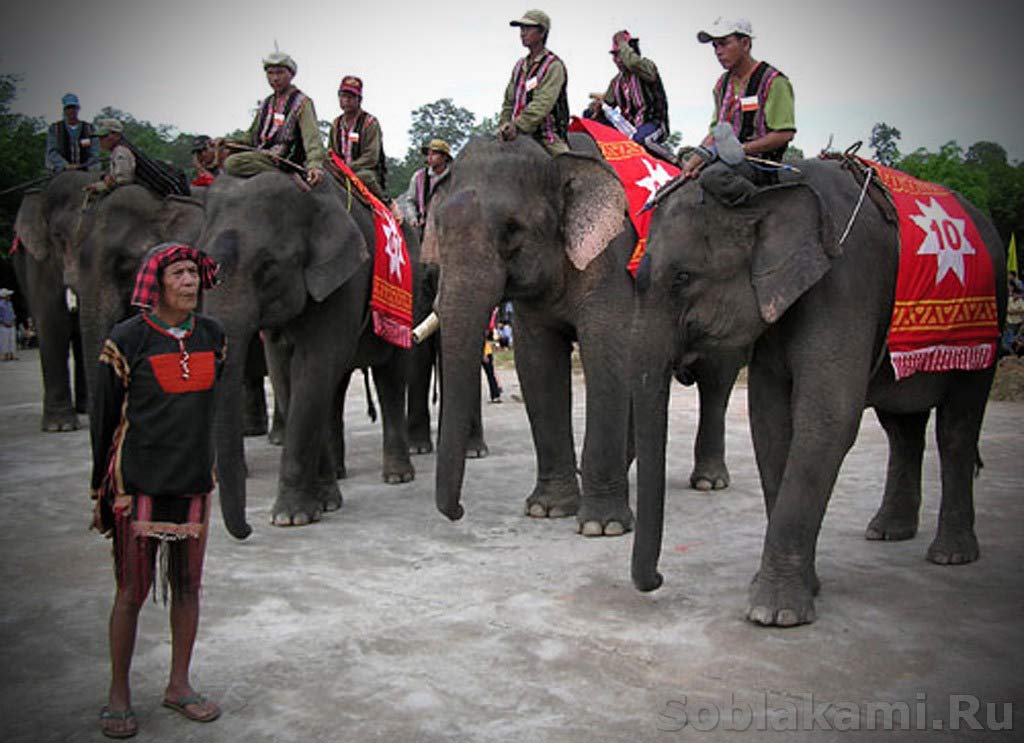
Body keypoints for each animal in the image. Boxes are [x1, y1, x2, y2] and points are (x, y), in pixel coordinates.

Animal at [201, 170, 417, 540]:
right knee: (335, 389)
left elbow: (313, 365)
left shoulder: (345, 280)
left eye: (268, 266)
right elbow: (284, 373)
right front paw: (324, 503)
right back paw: (338, 479)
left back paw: (398, 476)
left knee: (391, 376)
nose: (246, 530)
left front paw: (291, 517)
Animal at [428, 137, 741, 540]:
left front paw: (601, 526)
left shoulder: (612, 263)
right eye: (437, 227)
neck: (556, 158)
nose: (459, 511)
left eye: (512, 229)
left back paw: (708, 482)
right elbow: (538, 365)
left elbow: (606, 355)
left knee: (716, 382)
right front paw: (546, 510)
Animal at [630, 158, 1007, 630]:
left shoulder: (846, 287)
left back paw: (950, 556)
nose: (658, 579)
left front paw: (774, 613)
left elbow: (828, 418)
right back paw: (887, 532)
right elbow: (769, 422)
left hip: (987, 324)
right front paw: (801, 589)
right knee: (902, 428)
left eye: (683, 277)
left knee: (957, 428)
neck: (768, 186)